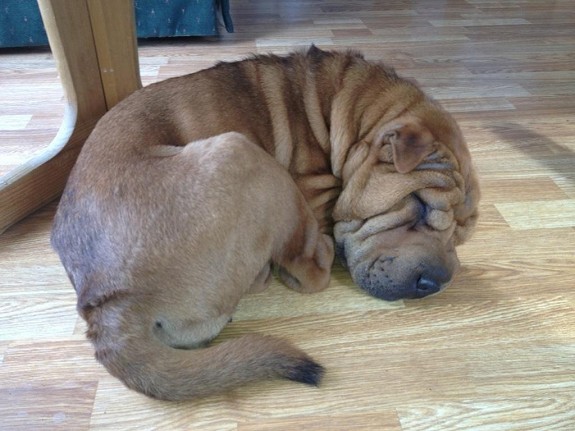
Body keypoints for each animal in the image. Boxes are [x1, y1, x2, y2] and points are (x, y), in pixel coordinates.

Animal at [50, 46, 482, 402]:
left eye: (462, 236)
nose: (437, 283)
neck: (351, 116)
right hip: (243, 153)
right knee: (308, 267)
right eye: (420, 206)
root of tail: (106, 304)